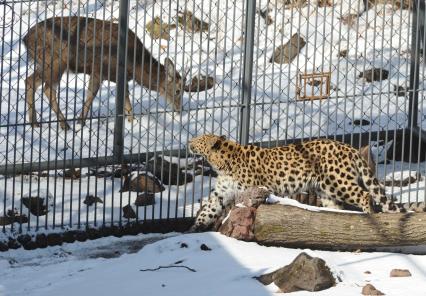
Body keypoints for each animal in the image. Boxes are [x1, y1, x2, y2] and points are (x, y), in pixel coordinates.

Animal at [23, 16, 185, 130]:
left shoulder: (113, 76)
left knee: (30, 81)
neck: (135, 64)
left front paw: (131, 122)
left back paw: (34, 123)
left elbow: (120, 100)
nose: (180, 110)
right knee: (48, 88)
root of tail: (25, 39)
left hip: (45, 63)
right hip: (55, 61)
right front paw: (81, 122)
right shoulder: (99, 70)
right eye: (178, 90)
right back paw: (64, 125)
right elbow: (94, 96)